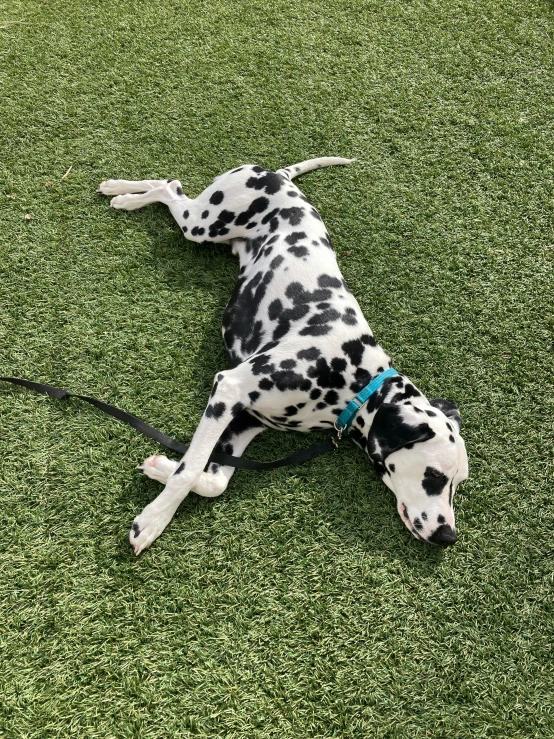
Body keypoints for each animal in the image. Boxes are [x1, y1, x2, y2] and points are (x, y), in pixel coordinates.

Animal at [98, 158, 466, 556]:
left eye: (458, 482)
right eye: (435, 476)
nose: (447, 537)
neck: (356, 380)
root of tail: (276, 174)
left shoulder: (246, 419)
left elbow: (212, 480)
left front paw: (160, 466)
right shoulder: (228, 388)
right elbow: (191, 468)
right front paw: (153, 520)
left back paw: (119, 193)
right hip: (203, 223)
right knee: (170, 185)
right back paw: (123, 195)